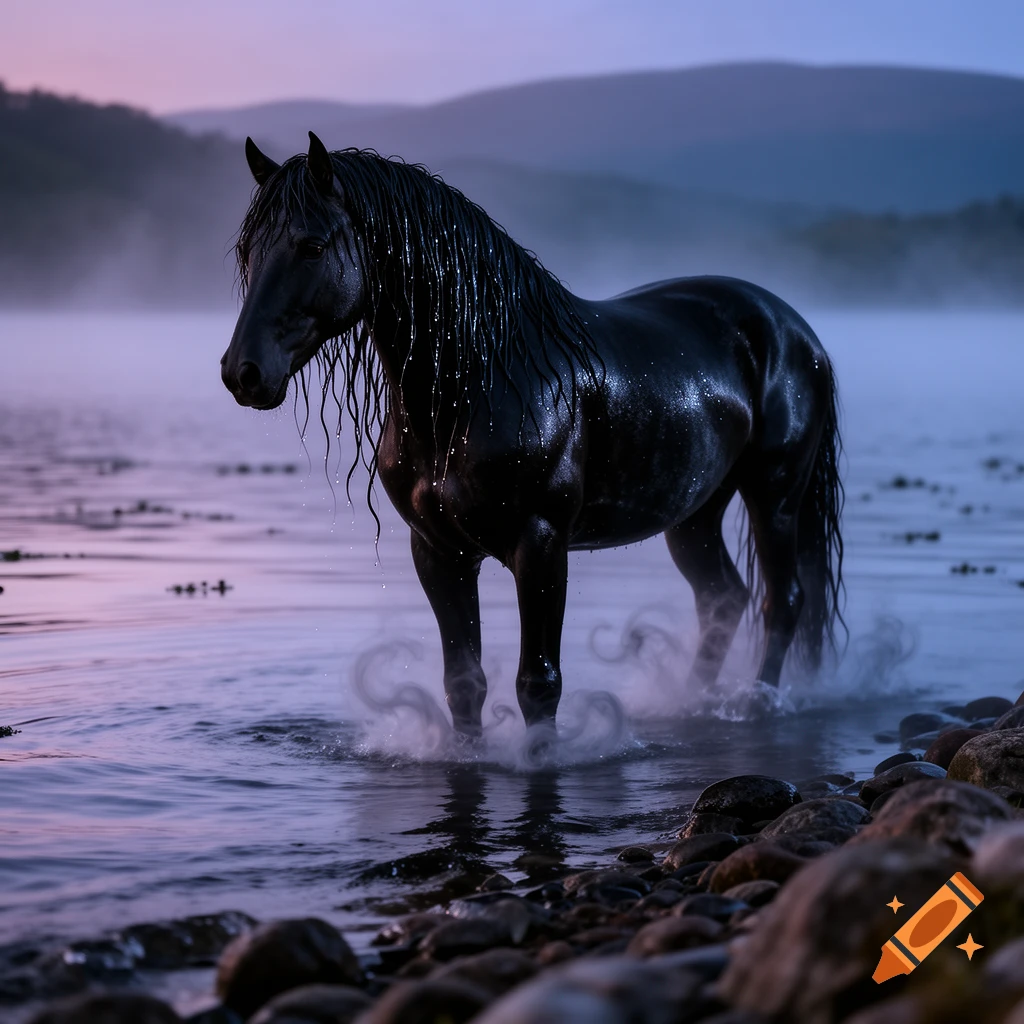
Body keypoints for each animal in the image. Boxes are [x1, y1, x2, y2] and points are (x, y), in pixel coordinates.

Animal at [221, 132, 844, 737]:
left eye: (311, 246)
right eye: (247, 252)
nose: (242, 372)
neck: (479, 380)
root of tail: (796, 331)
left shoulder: (540, 544)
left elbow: (539, 684)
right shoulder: (439, 552)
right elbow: (464, 682)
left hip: (774, 495)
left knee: (782, 599)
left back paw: (758, 702)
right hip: (695, 512)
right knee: (722, 599)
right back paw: (692, 704)